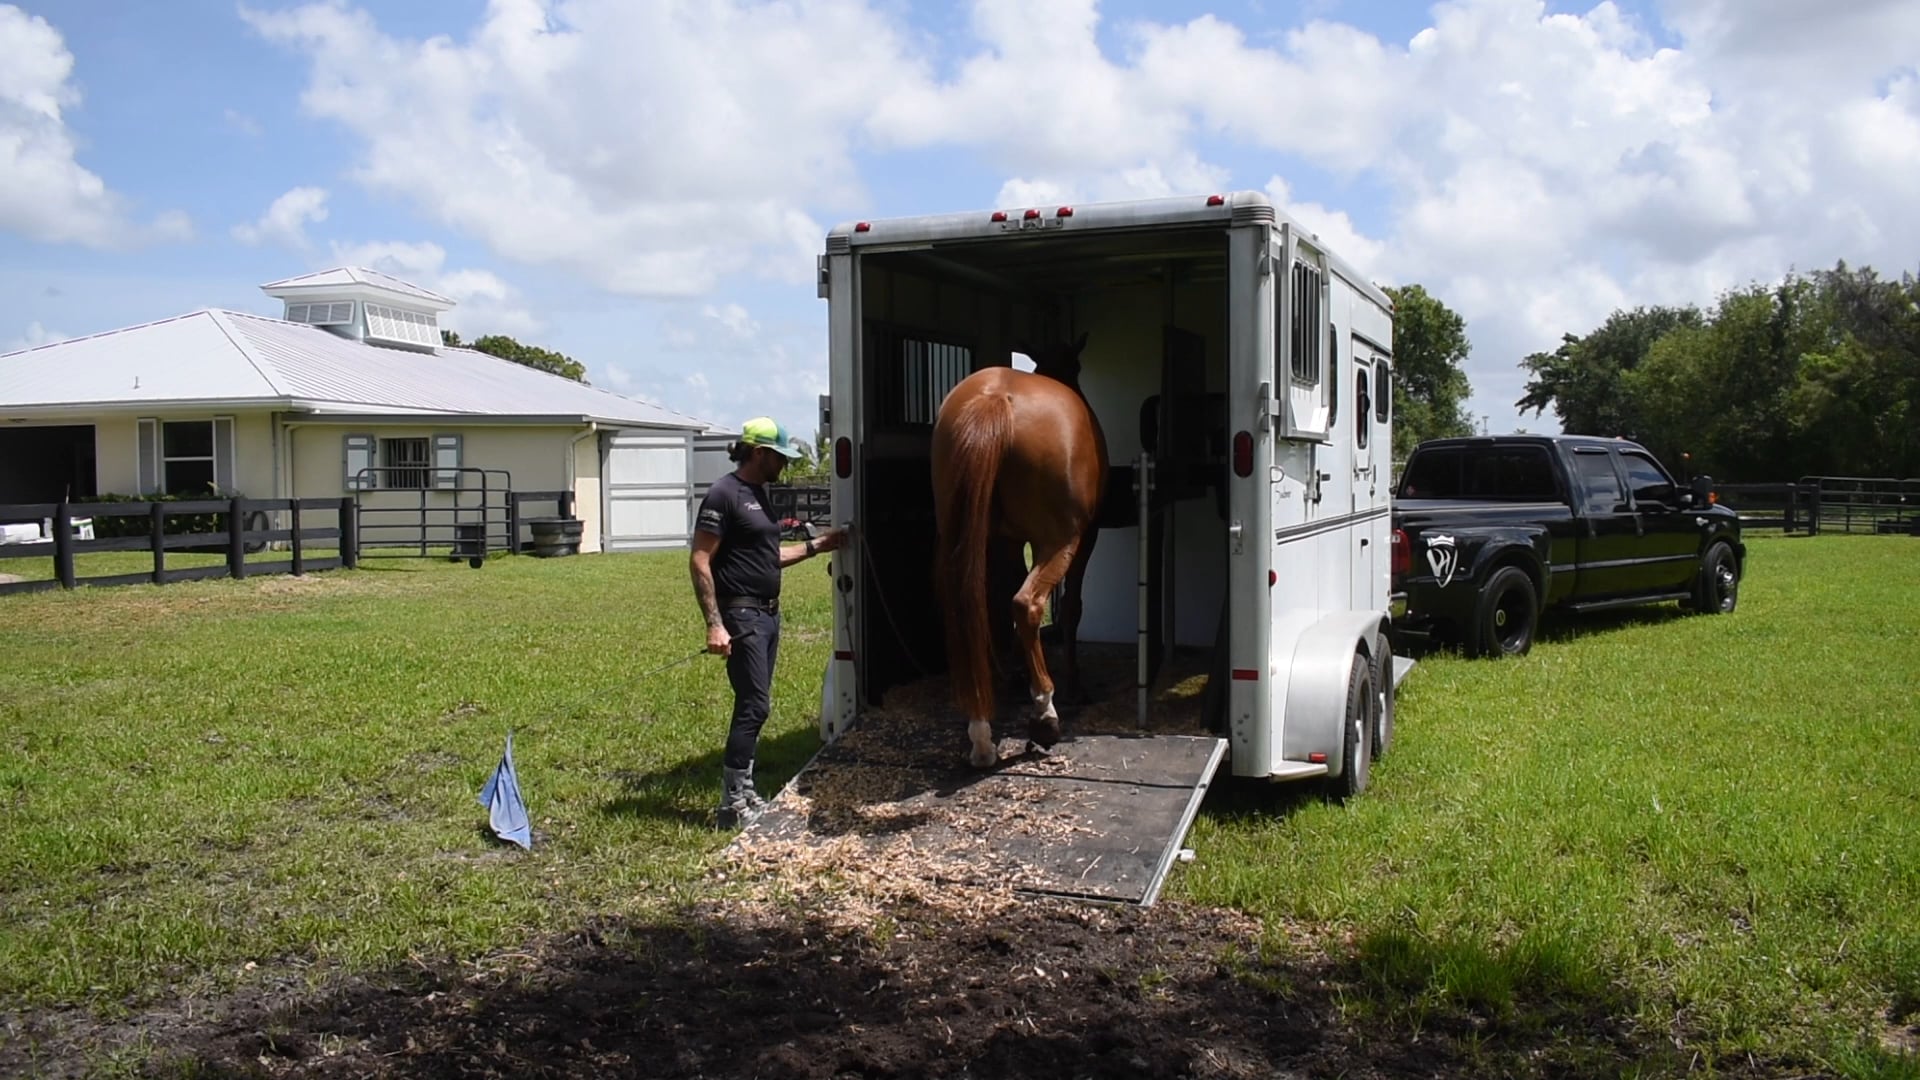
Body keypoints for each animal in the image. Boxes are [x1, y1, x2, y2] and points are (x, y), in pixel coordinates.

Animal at [930, 332, 1108, 768]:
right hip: (1060, 542)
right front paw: (1073, 685)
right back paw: (1045, 715)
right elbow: (1072, 609)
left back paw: (980, 733)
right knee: (1026, 604)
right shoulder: (1087, 538)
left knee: (972, 607)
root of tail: (994, 398)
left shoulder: (1008, 541)